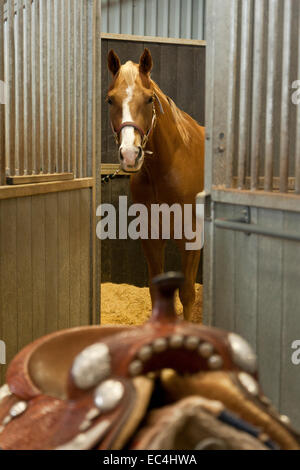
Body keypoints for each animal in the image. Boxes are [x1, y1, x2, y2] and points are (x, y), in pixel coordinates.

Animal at [106, 48, 205, 320]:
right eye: (110, 100)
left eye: (149, 99)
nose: (130, 155)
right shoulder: (150, 237)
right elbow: (154, 289)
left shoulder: (191, 237)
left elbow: (187, 293)